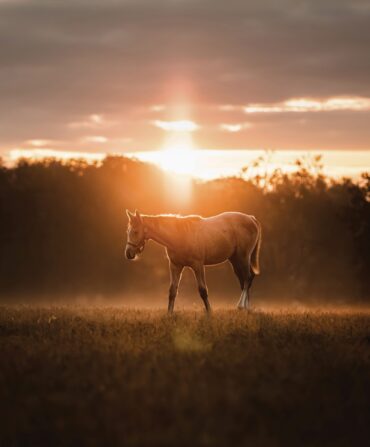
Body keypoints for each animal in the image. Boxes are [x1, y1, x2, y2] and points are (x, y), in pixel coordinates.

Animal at [125, 211, 262, 314]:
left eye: (136, 231)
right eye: (128, 231)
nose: (128, 253)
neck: (180, 235)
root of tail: (251, 219)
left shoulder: (198, 266)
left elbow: (203, 290)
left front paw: (209, 313)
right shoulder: (175, 266)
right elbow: (172, 290)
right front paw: (169, 314)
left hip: (243, 257)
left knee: (247, 278)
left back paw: (241, 306)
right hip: (235, 260)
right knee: (244, 281)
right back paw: (247, 309)